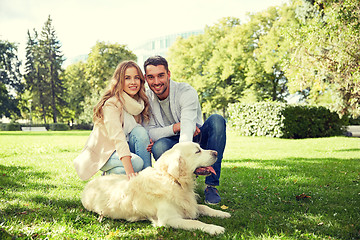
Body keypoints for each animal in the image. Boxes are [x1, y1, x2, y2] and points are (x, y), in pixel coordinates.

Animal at [81, 142, 231, 234]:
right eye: (197, 151)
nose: (216, 152)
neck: (172, 180)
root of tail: (88, 185)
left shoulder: (188, 204)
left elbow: (204, 207)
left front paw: (222, 213)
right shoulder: (169, 219)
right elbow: (196, 223)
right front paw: (214, 228)